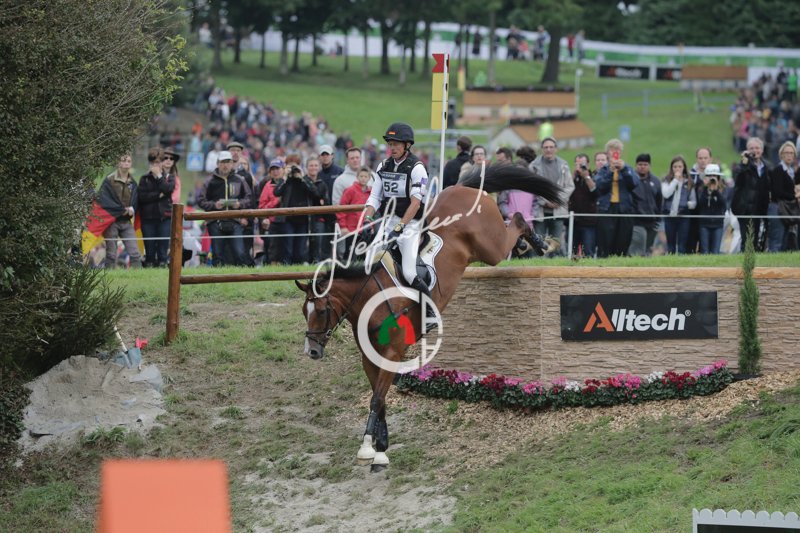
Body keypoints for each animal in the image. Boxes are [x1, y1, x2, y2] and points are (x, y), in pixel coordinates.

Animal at [296, 163, 562, 472]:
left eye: (322, 311)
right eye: (304, 312)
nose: (312, 351)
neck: (370, 298)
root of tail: (462, 188)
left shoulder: (392, 352)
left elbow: (376, 399)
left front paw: (367, 449)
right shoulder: (369, 358)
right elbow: (380, 400)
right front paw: (381, 448)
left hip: (491, 247)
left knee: (516, 221)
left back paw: (540, 242)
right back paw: (525, 245)